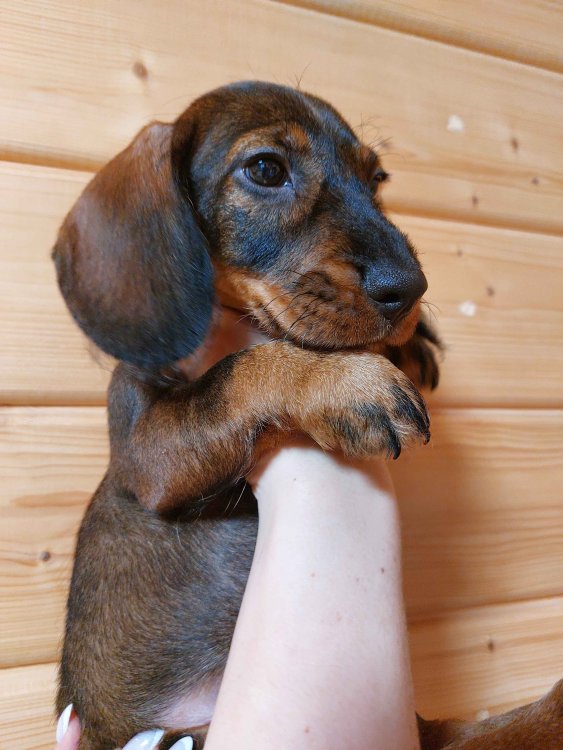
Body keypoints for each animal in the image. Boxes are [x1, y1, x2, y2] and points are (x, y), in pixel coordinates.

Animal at [52, 82, 562, 749]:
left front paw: (414, 340)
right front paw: (346, 381)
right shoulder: (149, 448)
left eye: (377, 178)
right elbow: (244, 367)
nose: (411, 288)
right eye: (267, 169)